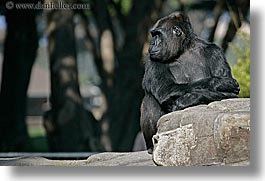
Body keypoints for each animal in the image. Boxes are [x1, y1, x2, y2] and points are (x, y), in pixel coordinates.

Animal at [140, 11, 239, 153]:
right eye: (153, 35)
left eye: (157, 35)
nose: (152, 44)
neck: (183, 49)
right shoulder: (152, 58)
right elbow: (165, 89)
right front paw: (218, 83)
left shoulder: (215, 51)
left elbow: (231, 95)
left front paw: (190, 98)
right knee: (150, 99)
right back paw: (153, 146)